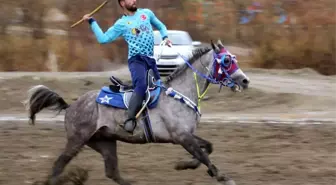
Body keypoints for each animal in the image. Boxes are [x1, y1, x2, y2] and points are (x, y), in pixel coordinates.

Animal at [23, 39, 249, 185]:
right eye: (227, 61)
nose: (245, 80)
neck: (180, 94)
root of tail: (71, 106)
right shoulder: (181, 136)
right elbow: (203, 154)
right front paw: (222, 176)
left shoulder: (187, 135)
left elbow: (208, 148)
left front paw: (184, 165)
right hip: (77, 140)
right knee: (59, 164)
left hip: (105, 142)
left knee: (112, 172)